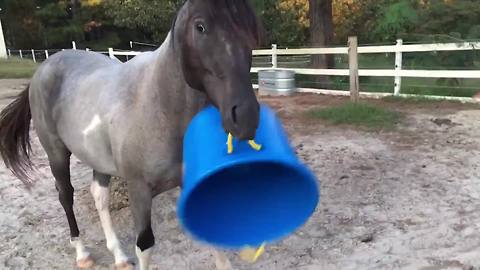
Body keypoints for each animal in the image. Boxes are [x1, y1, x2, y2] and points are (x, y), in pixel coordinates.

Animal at [0, 1, 260, 268]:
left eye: (252, 28)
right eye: (200, 26)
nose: (246, 117)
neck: (160, 106)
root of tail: (44, 67)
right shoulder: (139, 191)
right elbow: (144, 246)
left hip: (98, 160)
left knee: (99, 197)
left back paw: (118, 256)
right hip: (57, 154)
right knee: (65, 196)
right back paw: (82, 253)